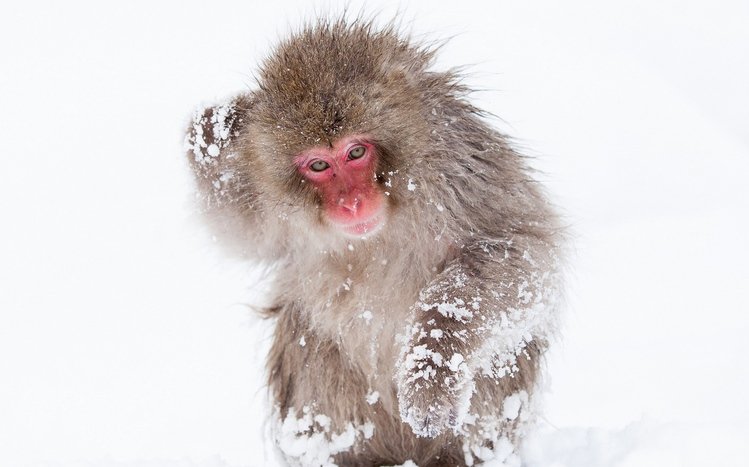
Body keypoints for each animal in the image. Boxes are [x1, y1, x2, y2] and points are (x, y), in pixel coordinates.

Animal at [185, 17, 563, 467]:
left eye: (356, 152)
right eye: (318, 165)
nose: (351, 203)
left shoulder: (460, 169)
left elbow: (522, 254)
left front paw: (432, 365)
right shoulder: (266, 202)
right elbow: (239, 234)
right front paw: (212, 133)